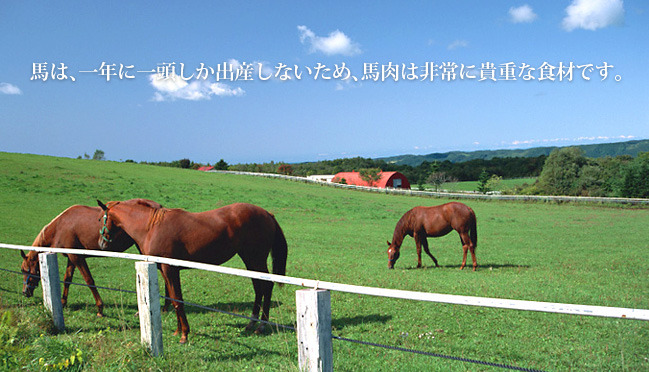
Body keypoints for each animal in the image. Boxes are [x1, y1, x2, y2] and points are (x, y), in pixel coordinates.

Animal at [19, 201, 161, 316]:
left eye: (25, 270)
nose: (25, 292)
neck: (60, 225)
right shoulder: (71, 258)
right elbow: (67, 279)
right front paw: (63, 302)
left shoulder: (77, 258)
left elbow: (89, 280)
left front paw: (100, 308)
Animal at [97, 199, 288, 344]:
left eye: (101, 219)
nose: (101, 243)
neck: (152, 227)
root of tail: (267, 214)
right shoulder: (167, 270)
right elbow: (174, 299)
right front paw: (178, 331)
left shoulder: (170, 270)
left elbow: (177, 300)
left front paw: (184, 334)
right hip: (250, 260)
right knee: (258, 287)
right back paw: (251, 324)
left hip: (256, 259)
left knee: (266, 287)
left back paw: (261, 326)